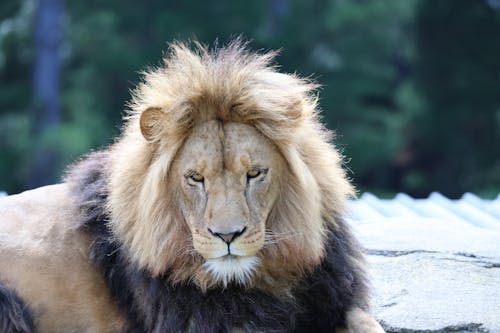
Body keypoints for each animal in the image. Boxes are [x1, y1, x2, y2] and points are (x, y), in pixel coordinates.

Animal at [0, 40, 384, 330]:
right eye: (195, 178)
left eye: (254, 174)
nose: (227, 236)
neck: (265, 280)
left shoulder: (335, 298)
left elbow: (365, 322)